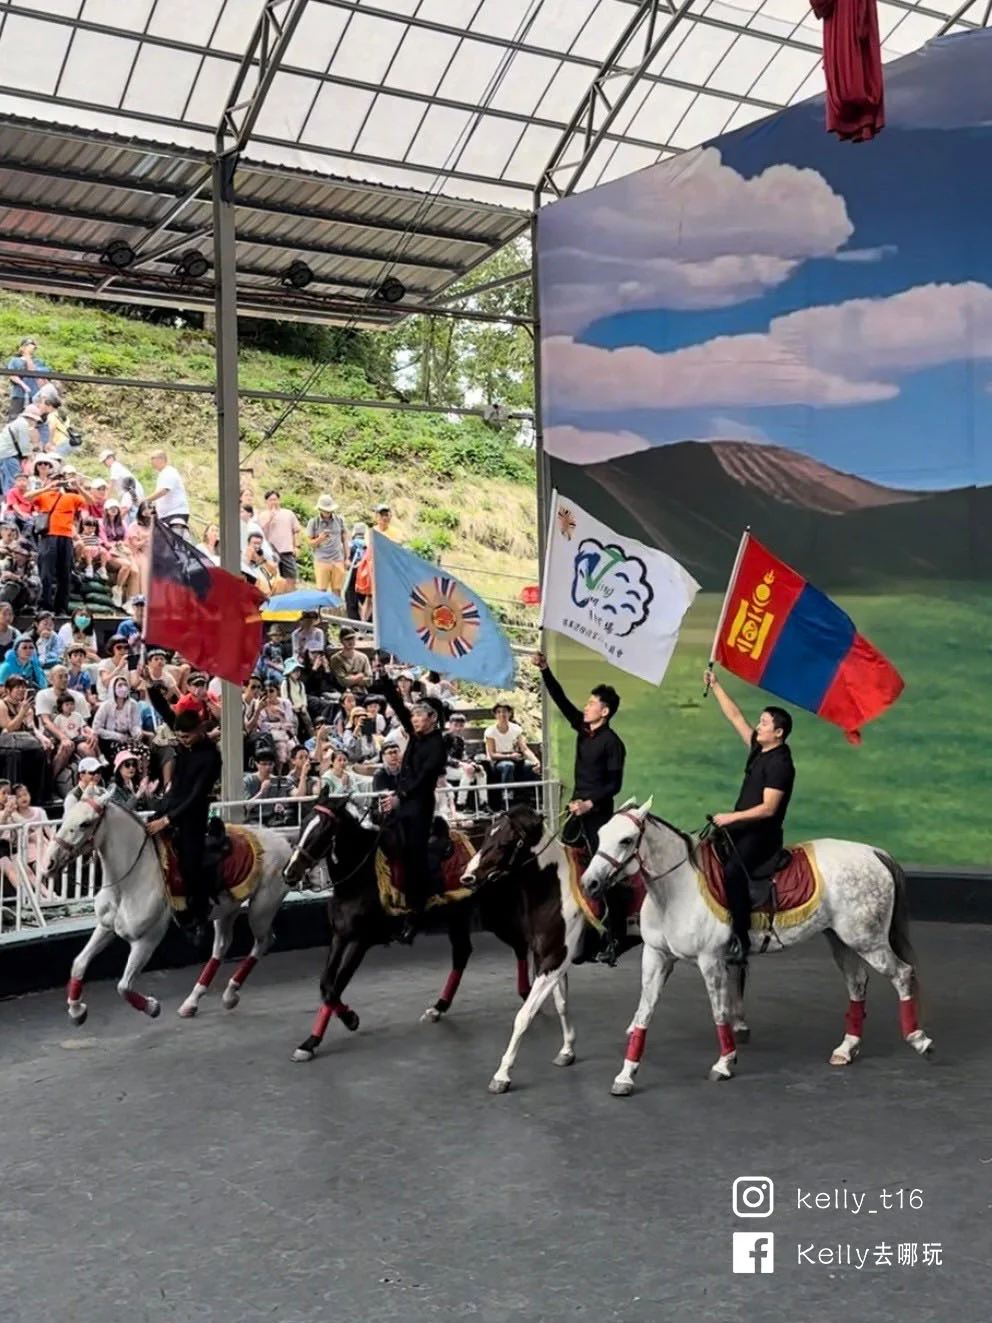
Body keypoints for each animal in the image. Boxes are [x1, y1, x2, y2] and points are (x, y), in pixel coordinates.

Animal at [44, 793, 293, 1021]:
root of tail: (283, 842)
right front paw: (77, 1010)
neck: (130, 880)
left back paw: (230, 994)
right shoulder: (106, 928)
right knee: (222, 946)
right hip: (228, 909)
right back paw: (192, 1001)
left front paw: (152, 1007)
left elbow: (123, 986)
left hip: (262, 908)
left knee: (263, 942)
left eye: (85, 823)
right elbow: (78, 964)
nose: (49, 863)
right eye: (64, 818)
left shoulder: (146, 940)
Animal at [579, 793, 936, 1095]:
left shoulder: (711, 961)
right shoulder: (656, 957)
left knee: (902, 974)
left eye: (626, 840)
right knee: (857, 983)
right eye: (601, 834)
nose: (589, 884)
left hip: (868, 940)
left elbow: (720, 1011)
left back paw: (919, 1040)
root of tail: (875, 853)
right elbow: (644, 1013)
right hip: (842, 939)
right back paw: (846, 1049)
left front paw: (724, 1063)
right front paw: (626, 1075)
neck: (676, 890)